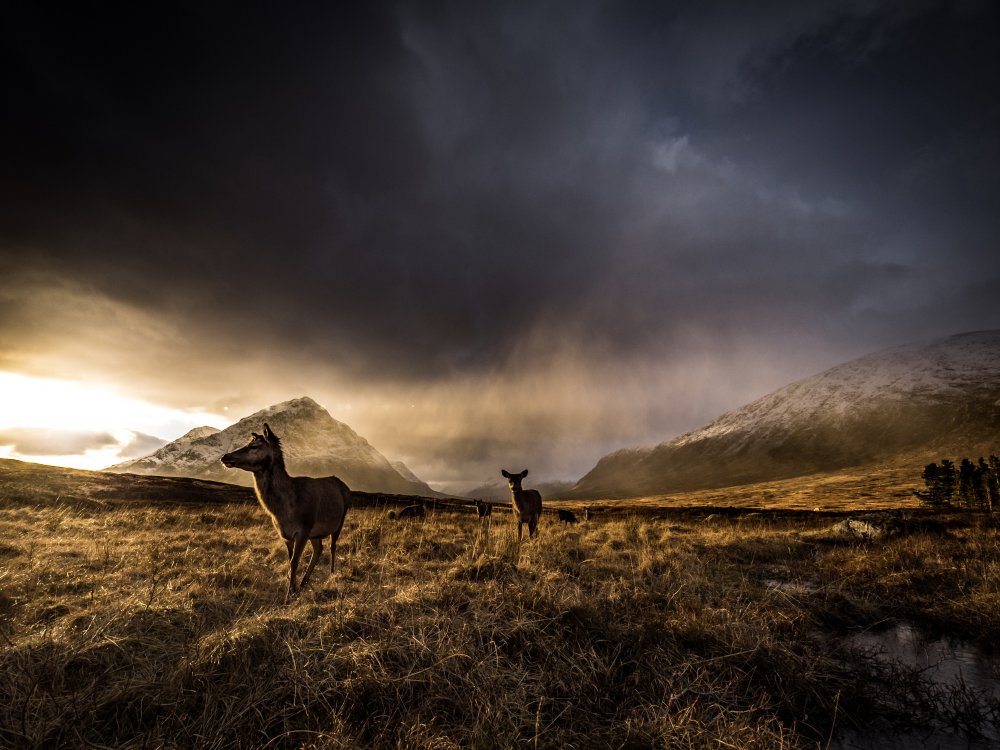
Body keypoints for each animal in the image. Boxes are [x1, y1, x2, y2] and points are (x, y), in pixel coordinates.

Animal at [221, 423, 350, 601]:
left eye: (254, 446)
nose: (225, 456)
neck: (282, 511)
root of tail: (345, 486)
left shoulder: (304, 528)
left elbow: (294, 562)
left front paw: (289, 595)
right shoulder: (285, 534)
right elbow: (290, 561)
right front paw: (293, 589)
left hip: (339, 520)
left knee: (332, 547)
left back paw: (331, 575)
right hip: (315, 532)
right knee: (319, 548)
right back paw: (304, 583)